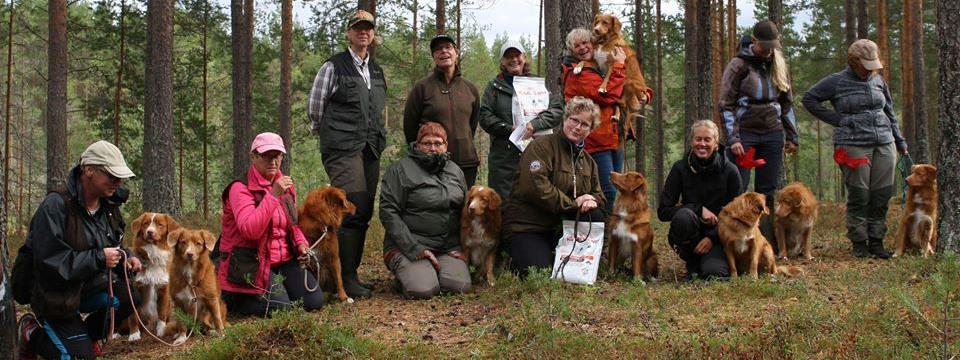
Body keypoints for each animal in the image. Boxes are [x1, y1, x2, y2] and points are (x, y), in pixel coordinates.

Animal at [126, 212, 179, 342]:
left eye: (160, 225)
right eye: (146, 223)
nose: (150, 232)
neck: (153, 253)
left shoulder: (163, 288)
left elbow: (161, 312)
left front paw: (161, 330)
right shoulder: (134, 288)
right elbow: (133, 316)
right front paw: (134, 334)